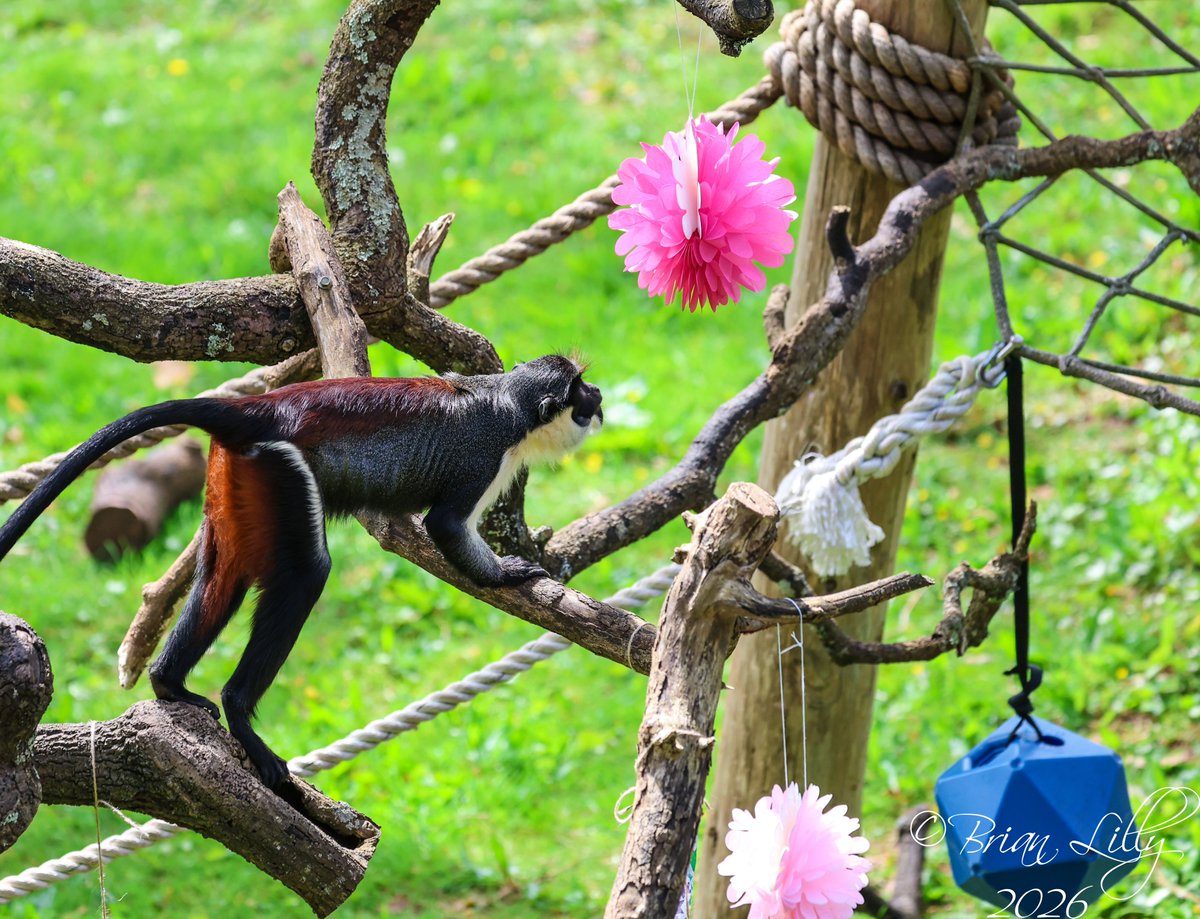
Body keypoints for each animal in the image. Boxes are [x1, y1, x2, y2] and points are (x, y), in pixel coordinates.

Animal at [0, 354, 602, 789]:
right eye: (578, 389)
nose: (596, 397)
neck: (508, 402)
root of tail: (258, 409)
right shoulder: (483, 457)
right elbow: (446, 525)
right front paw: (504, 575)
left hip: (237, 475)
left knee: (224, 574)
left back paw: (170, 682)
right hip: (280, 470)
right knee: (307, 572)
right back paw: (238, 711)